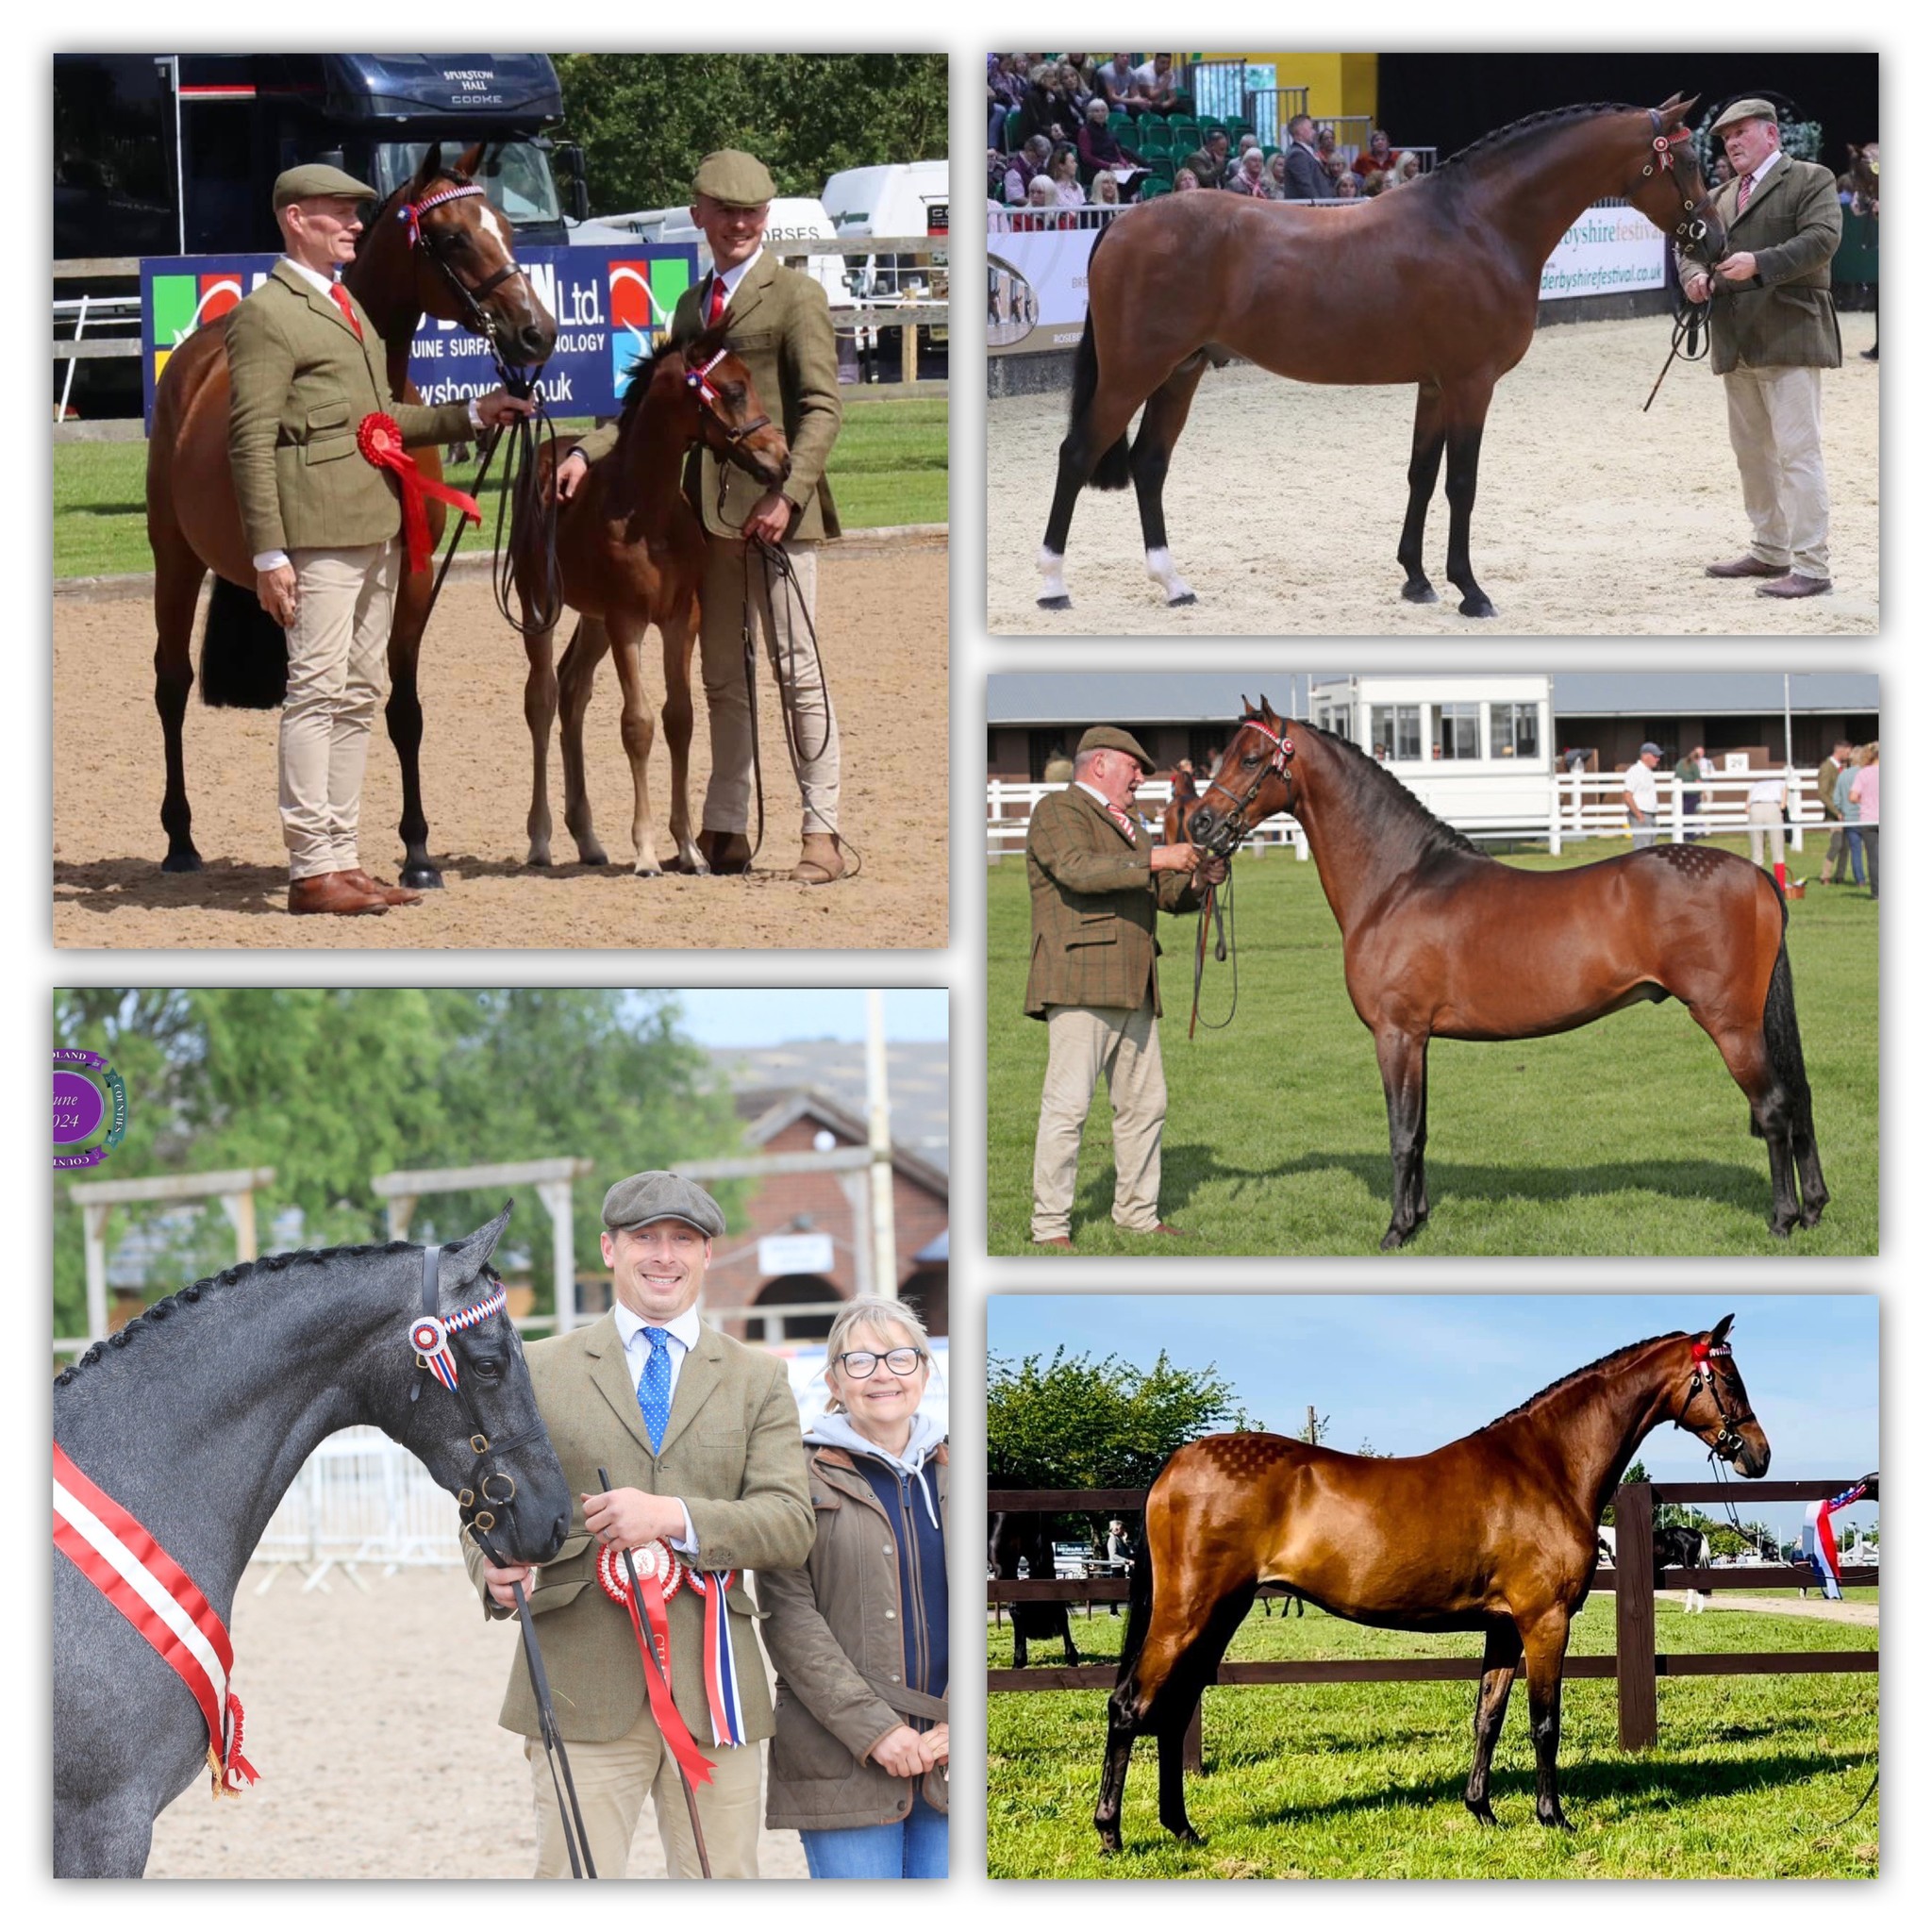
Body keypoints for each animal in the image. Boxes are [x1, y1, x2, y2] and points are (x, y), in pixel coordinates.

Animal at [145, 144, 557, 888]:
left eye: (508, 228)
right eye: (453, 237)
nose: (537, 332)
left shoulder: (410, 580)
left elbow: (402, 709)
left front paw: (417, 853)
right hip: (176, 557)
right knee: (172, 684)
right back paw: (181, 841)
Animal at [512, 334, 791, 875]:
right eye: (733, 389)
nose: (783, 460)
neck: (647, 510)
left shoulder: (680, 619)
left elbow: (679, 718)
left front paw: (688, 849)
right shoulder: (629, 621)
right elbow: (637, 724)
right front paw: (644, 851)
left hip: (593, 618)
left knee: (573, 690)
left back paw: (588, 838)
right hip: (539, 605)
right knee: (542, 698)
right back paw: (540, 840)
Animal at [1038, 96, 1726, 618]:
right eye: (1690, 160)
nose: (1715, 241)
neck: (1478, 224)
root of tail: (1122, 223)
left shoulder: (1435, 385)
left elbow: (1421, 475)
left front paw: (1416, 581)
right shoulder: (1471, 384)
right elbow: (1461, 483)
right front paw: (1470, 591)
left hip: (1181, 371)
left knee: (1149, 464)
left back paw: (1173, 584)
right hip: (1132, 373)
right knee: (1076, 454)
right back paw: (1052, 585)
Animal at [1094, 1316, 1768, 1851]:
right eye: (1728, 1379)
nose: (1757, 1455)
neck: (1546, 1466)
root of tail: (1175, 1465)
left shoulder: (1505, 1627)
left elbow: (1488, 1717)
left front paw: (1483, 1811)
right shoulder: (1545, 1621)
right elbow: (1544, 1722)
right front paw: (1553, 1818)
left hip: (1220, 1613)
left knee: (1173, 1710)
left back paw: (1183, 1829)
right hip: (1188, 1613)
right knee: (1131, 1706)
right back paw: (1111, 1833)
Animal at [1186, 698, 1828, 1249]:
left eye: (1250, 758)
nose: (1199, 824)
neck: (1398, 882)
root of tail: (1755, 874)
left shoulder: (1396, 1034)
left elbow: (1400, 1135)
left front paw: (1394, 1230)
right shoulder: (1419, 1040)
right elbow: (1420, 1131)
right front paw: (1418, 1220)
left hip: (1730, 1023)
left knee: (1774, 1107)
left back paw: (1783, 1218)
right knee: (1799, 1098)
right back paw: (1815, 1207)